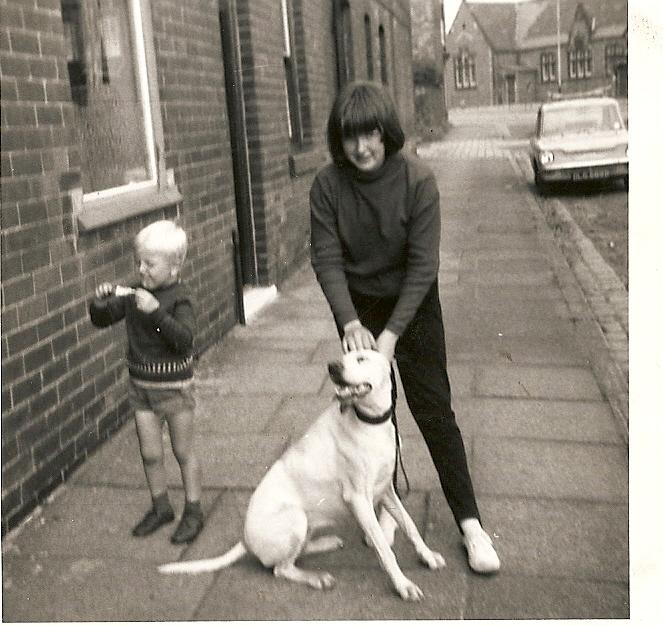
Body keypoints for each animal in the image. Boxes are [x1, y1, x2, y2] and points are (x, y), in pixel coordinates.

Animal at [158, 348, 444, 596]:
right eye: (342, 356)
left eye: (361, 358)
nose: (332, 367)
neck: (372, 422)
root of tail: (245, 539)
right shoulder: (359, 499)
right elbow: (385, 549)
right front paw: (403, 585)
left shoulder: (386, 490)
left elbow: (410, 526)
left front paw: (427, 556)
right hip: (295, 518)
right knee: (281, 569)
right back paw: (316, 578)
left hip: (307, 523)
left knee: (301, 551)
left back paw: (326, 543)